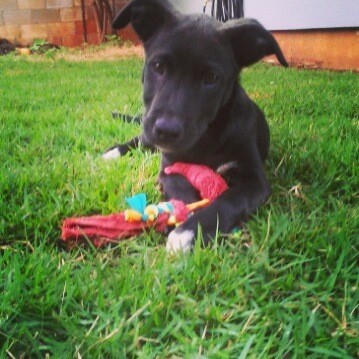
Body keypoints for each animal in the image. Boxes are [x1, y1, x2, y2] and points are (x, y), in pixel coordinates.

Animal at [103, 0, 286, 253]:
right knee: (140, 140)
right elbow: (180, 187)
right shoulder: (168, 167)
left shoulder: (255, 179)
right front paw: (185, 216)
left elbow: (229, 200)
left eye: (212, 78)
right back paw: (113, 152)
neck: (206, 138)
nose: (166, 131)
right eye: (158, 66)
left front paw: (190, 230)